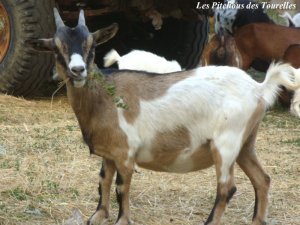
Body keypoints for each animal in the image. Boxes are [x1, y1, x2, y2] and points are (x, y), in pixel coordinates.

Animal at [29, 9, 300, 225]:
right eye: (56, 48)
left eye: (92, 46)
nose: (78, 70)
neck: (104, 96)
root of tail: (259, 88)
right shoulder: (109, 152)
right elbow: (103, 180)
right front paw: (98, 215)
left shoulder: (126, 153)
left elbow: (121, 187)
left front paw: (122, 220)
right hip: (246, 143)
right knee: (262, 180)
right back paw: (257, 220)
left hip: (226, 143)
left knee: (227, 188)